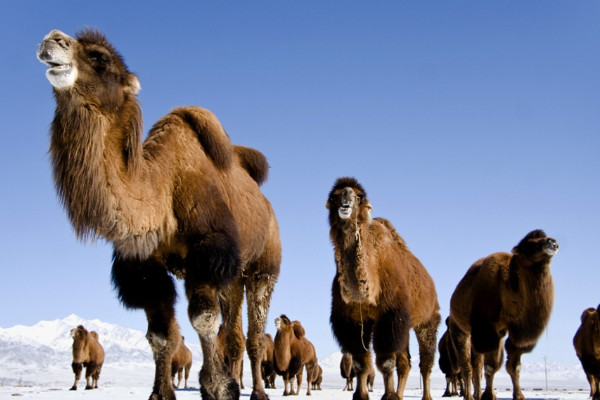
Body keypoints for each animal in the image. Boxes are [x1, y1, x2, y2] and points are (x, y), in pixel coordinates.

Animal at [37, 28, 282, 400]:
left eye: (99, 58)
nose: (51, 40)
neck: (163, 189)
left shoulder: (208, 252)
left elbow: (202, 320)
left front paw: (218, 387)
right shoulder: (144, 266)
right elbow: (160, 334)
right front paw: (161, 392)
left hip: (262, 269)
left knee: (254, 334)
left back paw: (257, 392)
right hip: (234, 277)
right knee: (234, 333)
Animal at [328, 177, 440, 400]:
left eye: (359, 196)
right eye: (334, 196)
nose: (346, 198)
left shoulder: (390, 316)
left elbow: (386, 361)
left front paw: (388, 395)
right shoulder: (352, 320)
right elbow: (361, 362)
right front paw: (360, 395)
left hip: (427, 321)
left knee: (425, 364)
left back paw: (426, 396)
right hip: (406, 326)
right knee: (405, 363)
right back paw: (401, 394)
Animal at [448, 230, 560, 400]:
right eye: (528, 244)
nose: (551, 242)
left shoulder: (511, 333)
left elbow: (514, 366)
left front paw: (519, 395)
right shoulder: (487, 330)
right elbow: (490, 367)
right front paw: (489, 395)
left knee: (475, 366)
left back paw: (475, 394)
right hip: (460, 330)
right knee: (466, 366)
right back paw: (469, 396)